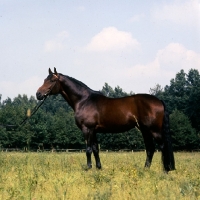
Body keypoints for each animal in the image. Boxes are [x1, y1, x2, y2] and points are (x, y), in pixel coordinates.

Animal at [36, 67, 175, 172]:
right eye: (44, 79)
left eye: (52, 80)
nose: (38, 94)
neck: (84, 100)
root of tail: (159, 101)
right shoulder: (94, 131)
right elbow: (96, 149)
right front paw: (98, 168)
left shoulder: (87, 129)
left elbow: (88, 150)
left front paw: (88, 168)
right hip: (145, 130)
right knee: (150, 148)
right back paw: (145, 169)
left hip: (154, 130)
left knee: (162, 146)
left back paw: (165, 170)